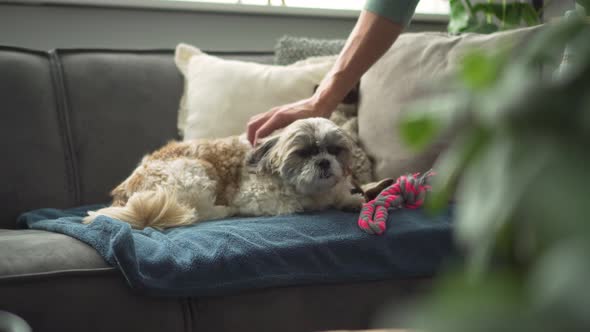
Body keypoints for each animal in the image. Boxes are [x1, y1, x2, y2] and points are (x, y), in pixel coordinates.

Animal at [84, 118, 366, 230]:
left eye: (334, 150)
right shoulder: (256, 198)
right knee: (198, 212)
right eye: (304, 153)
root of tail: (125, 193)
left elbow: (340, 195)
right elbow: (296, 204)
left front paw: (351, 200)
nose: (324, 162)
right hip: (197, 172)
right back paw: (224, 211)